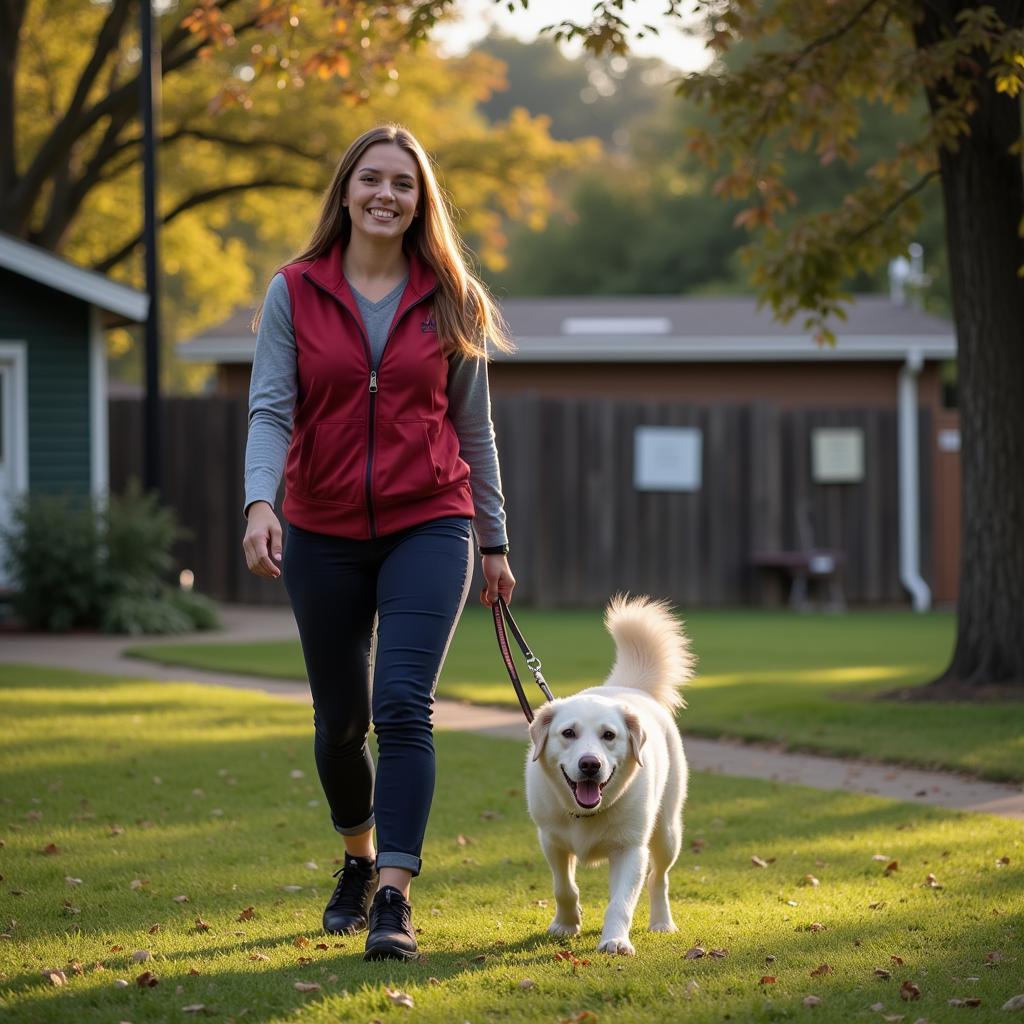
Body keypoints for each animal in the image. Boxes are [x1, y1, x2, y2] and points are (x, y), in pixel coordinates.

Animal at [524, 598, 692, 954]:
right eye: (568, 733)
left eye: (609, 735)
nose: (590, 764)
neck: (585, 813)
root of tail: (629, 687)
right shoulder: (551, 841)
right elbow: (564, 888)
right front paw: (566, 924)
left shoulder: (630, 850)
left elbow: (621, 903)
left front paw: (615, 941)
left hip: (667, 832)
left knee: (659, 878)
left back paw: (662, 922)